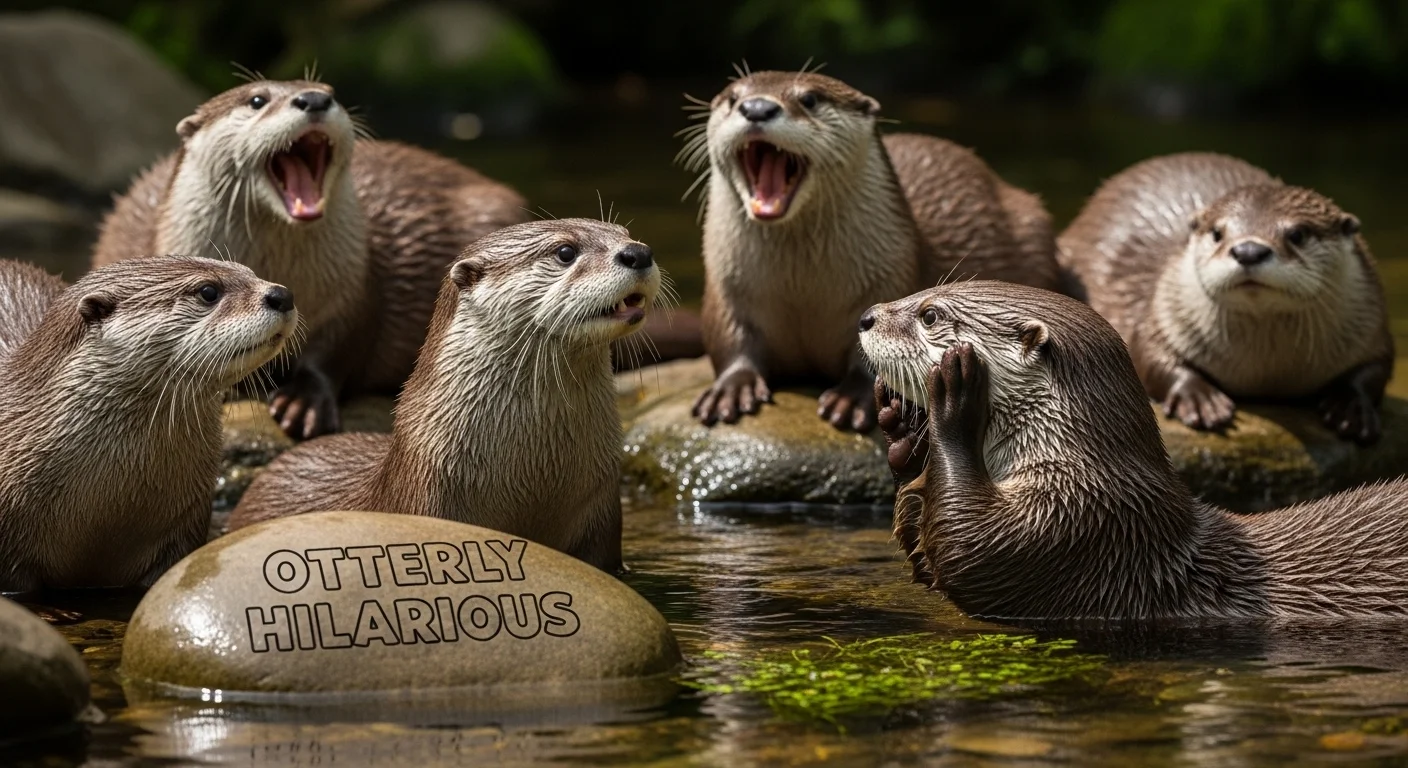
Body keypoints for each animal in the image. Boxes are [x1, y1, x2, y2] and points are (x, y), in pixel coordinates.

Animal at [682, 69, 1062, 433]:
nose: (757, 108)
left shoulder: (891, 276)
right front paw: (732, 389)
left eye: (809, 99)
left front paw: (850, 400)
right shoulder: (728, 287)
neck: (802, 292)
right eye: (733, 98)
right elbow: (729, 339)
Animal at [859, 281, 1408, 620]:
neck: (1085, 471)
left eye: (930, 314)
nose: (866, 316)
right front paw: (899, 427)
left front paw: (953, 396)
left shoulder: (1072, 523)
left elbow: (971, 552)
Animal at [1058, 152, 1393, 444]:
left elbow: (1376, 368)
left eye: (1298, 234)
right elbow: (1148, 355)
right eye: (1218, 233)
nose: (1249, 250)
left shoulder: (1371, 325)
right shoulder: (1160, 310)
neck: (1268, 372)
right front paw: (1200, 399)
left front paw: (1352, 408)